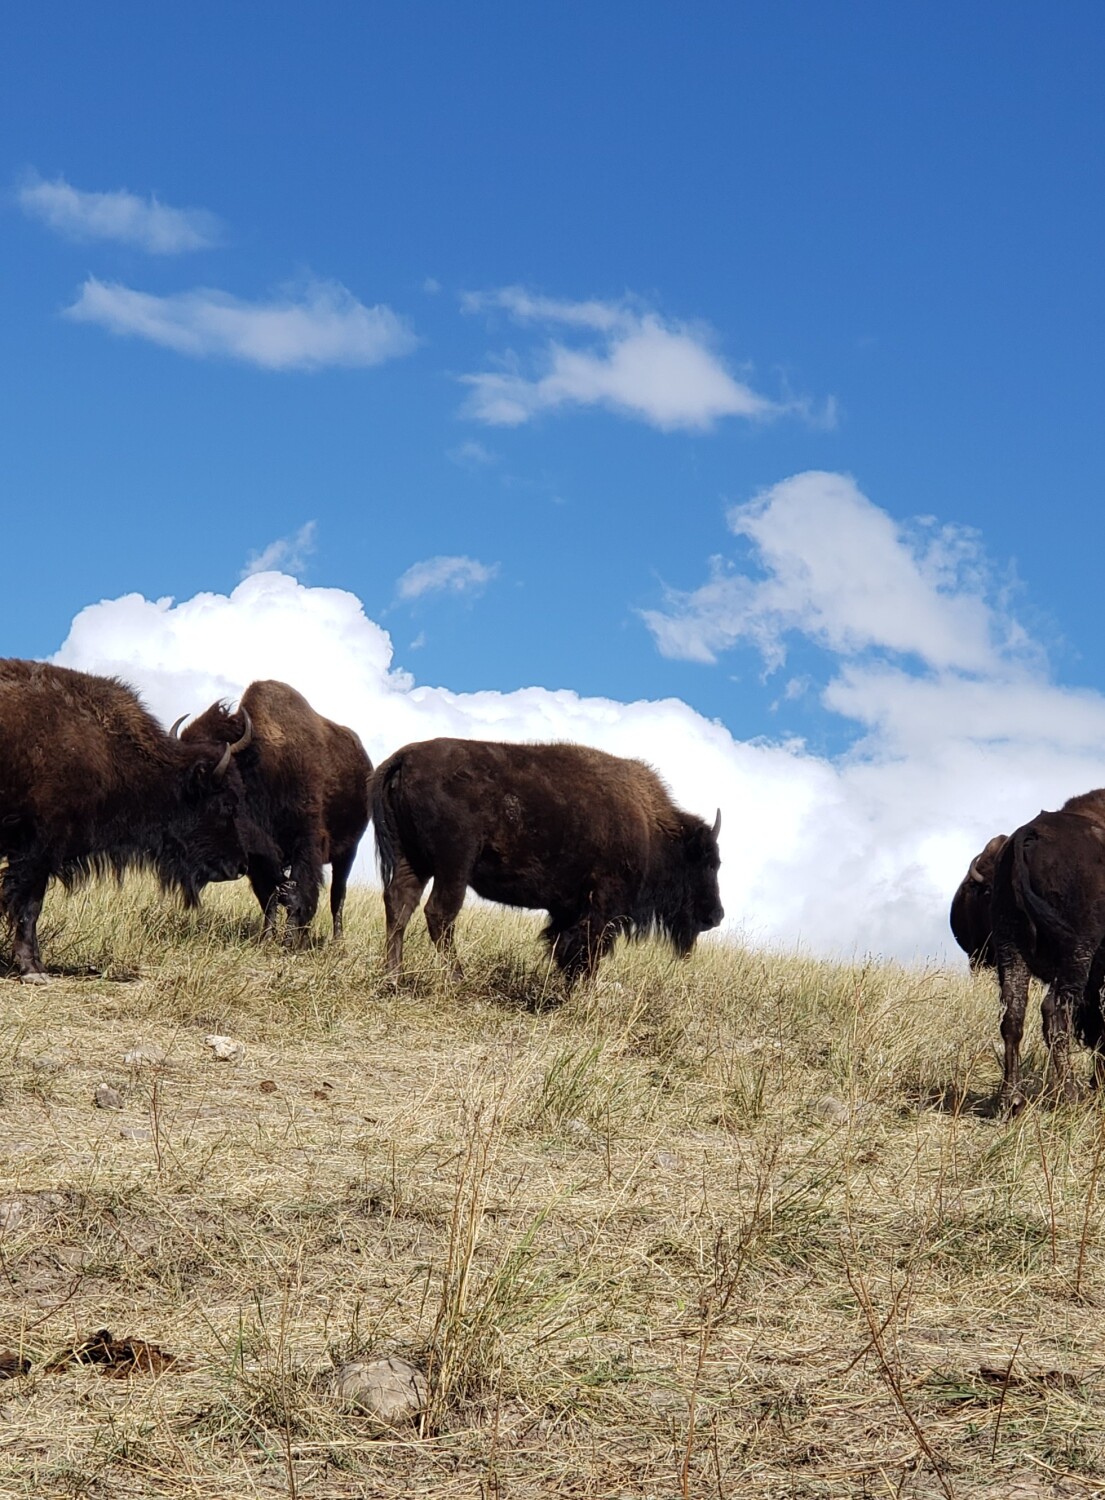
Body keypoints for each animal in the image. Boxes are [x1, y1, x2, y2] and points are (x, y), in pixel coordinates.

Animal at [180, 679, 372, 941]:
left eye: (213, 770)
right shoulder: (260, 859)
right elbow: (270, 896)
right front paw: (266, 938)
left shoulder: (307, 842)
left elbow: (300, 892)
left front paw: (289, 940)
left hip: (347, 852)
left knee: (337, 896)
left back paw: (336, 940)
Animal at [372, 737, 724, 986]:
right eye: (707, 862)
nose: (716, 915)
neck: (651, 827)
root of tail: (405, 758)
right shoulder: (602, 904)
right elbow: (586, 947)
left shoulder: (567, 908)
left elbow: (562, 944)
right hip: (454, 864)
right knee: (439, 913)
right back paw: (457, 980)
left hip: (413, 860)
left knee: (400, 904)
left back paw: (394, 980)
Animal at [992, 789, 1105, 1111]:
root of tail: (1030, 835)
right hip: (1077, 954)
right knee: (1054, 1013)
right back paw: (1070, 1095)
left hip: (1011, 948)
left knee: (1013, 1014)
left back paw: (1011, 1100)